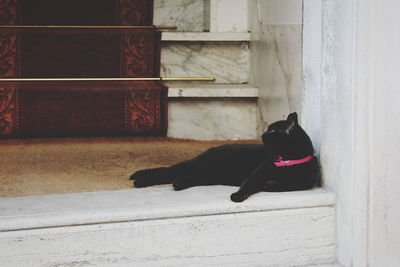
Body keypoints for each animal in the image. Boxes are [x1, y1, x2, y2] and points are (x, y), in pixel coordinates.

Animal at [130, 113, 320, 203]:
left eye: (273, 131)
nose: (263, 134)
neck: (287, 160)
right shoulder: (258, 172)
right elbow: (249, 183)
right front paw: (237, 195)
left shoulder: (300, 184)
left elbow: (281, 185)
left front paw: (269, 185)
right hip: (203, 167)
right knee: (165, 172)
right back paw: (139, 180)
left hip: (207, 176)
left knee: (186, 177)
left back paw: (178, 183)